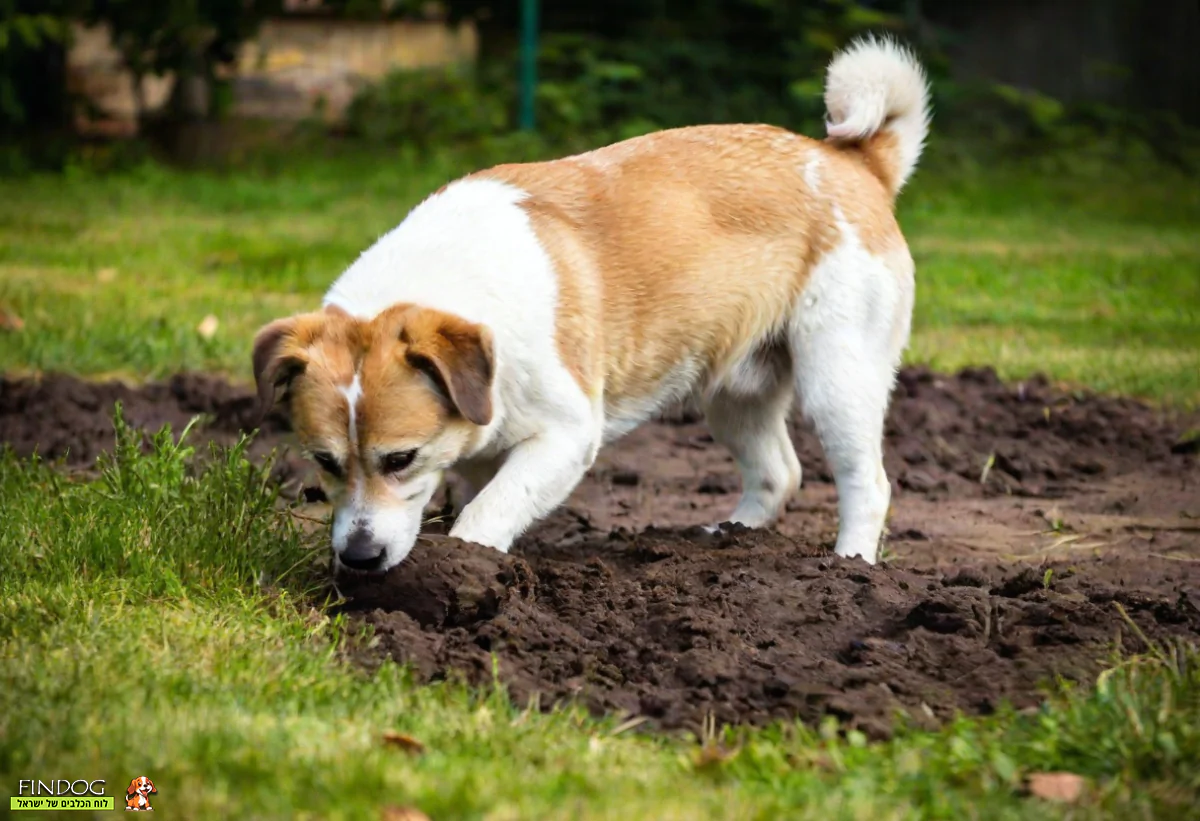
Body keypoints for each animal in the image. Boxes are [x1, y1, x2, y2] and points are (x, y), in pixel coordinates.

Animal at [250, 36, 926, 571]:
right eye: (324, 462)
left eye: (400, 459)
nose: (359, 558)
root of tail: (851, 162)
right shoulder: (483, 450)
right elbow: (483, 496)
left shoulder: (568, 435)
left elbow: (488, 515)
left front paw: (467, 567)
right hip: (735, 390)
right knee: (779, 472)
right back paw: (726, 538)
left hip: (838, 378)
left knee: (867, 483)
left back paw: (850, 568)